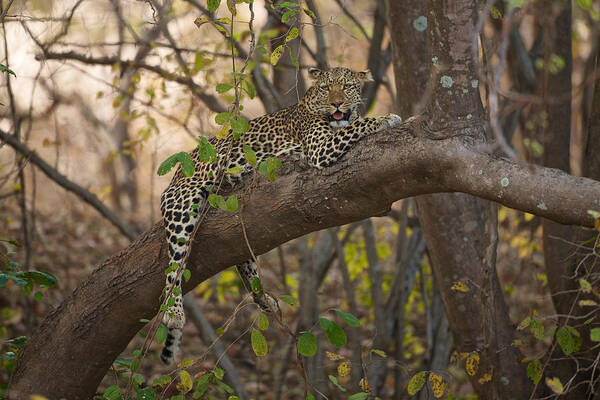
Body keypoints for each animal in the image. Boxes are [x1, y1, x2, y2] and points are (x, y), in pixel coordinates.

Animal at [159, 65, 404, 362]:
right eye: (326, 88)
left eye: (346, 86)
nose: (336, 103)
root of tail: (174, 177)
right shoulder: (319, 148)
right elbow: (357, 126)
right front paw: (386, 118)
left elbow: (353, 123)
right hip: (182, 203)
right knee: (174, 265)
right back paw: (174, 312)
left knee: (244, 264)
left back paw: (264, 299)